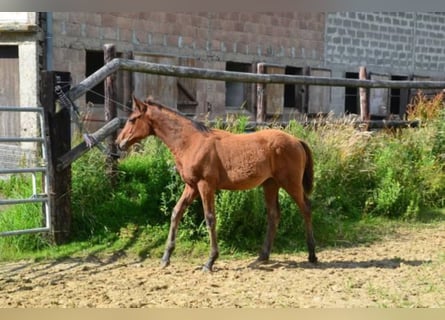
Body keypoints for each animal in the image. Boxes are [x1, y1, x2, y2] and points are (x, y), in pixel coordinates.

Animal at [114, 96, 316, 272]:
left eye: (132, 119)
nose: (118, 142)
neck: (191, 142)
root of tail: (297, 141)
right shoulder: (191, 186)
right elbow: (176, 212)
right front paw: (165, 258)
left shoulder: (205, 185)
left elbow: (210, 218)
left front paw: (210, 262)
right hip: (270, 184)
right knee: (274, 215)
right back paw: (262, 256)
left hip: (290, 183)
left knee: (306, 208)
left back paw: (312, 255)